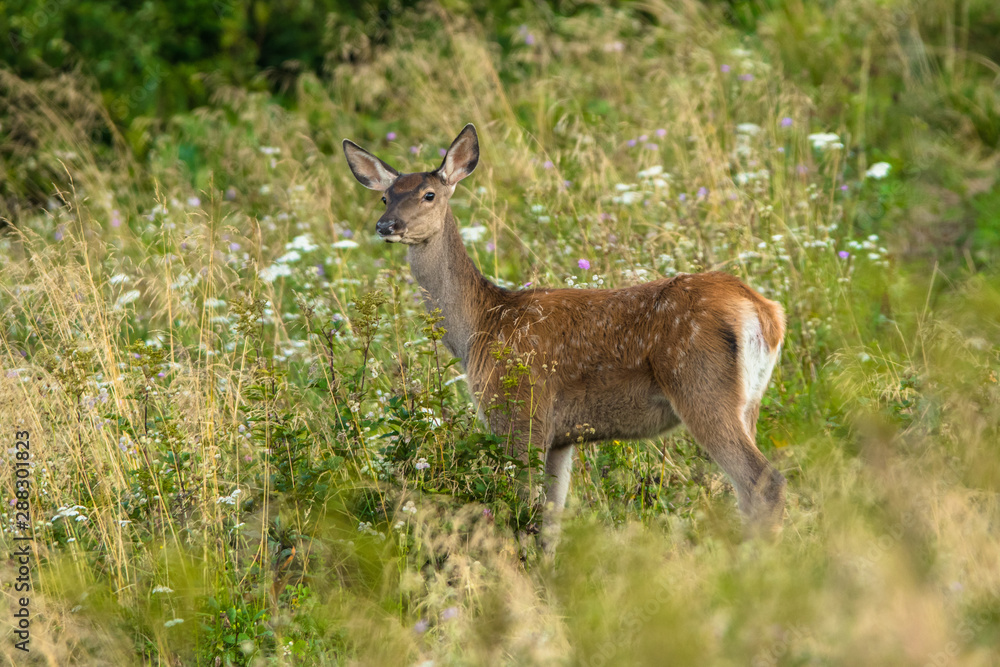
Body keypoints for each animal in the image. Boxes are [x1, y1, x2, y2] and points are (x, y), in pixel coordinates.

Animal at [344, 125, 788, 552]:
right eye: (385, 197)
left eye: (429, 194)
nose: (387, 226)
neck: (480, 328)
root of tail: (765, 312)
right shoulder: (561, 437)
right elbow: (551, 522)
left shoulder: (520, 410)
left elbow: (524, 512)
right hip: (749, 400)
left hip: (700, 384)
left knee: (762, 480)